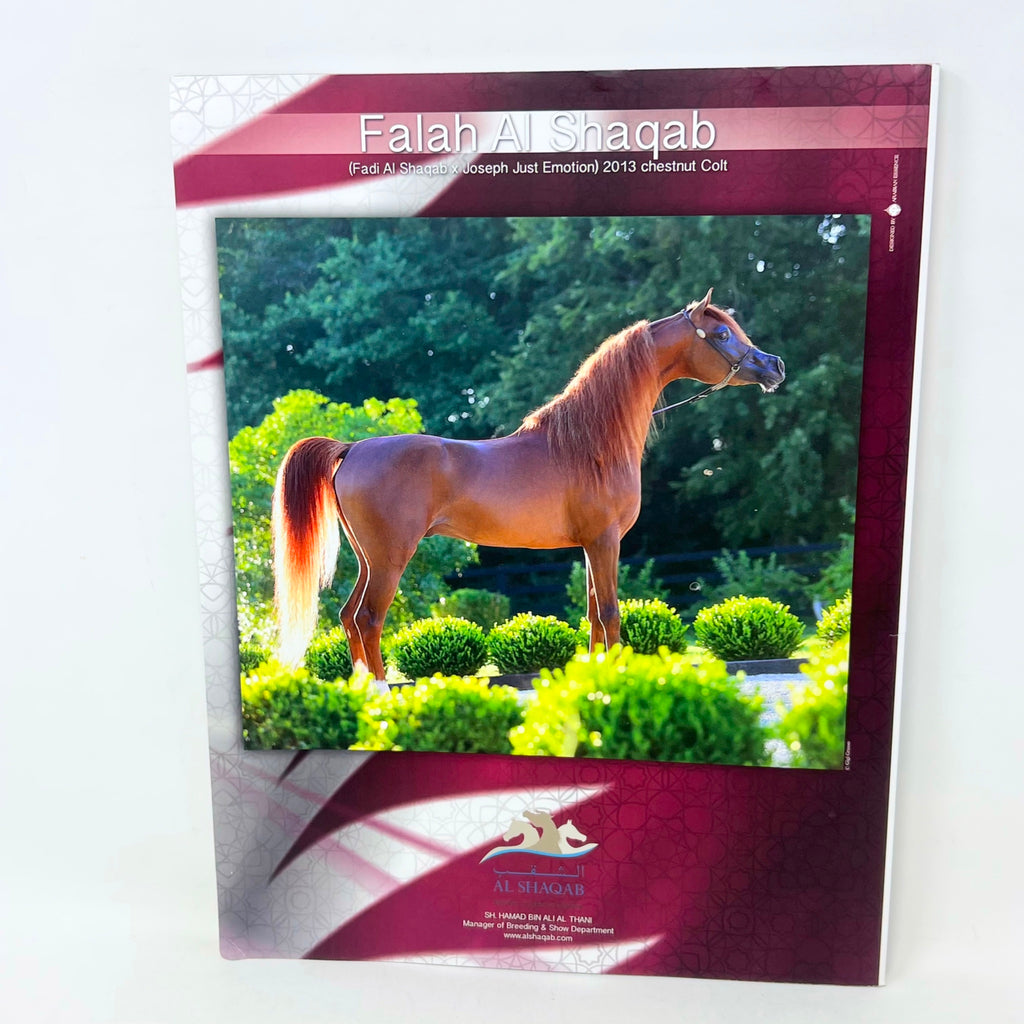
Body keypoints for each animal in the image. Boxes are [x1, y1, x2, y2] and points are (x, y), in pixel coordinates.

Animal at [271, 289, 785, 679]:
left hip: (368, 558)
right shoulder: (605, 541)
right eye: (722, 334)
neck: (588, 444)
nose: (775, 365)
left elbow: (592, 616)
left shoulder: (592, 545)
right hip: (390, 559)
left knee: (348, 618)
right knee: (369, 619)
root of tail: (353, 448)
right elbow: (610, 615)